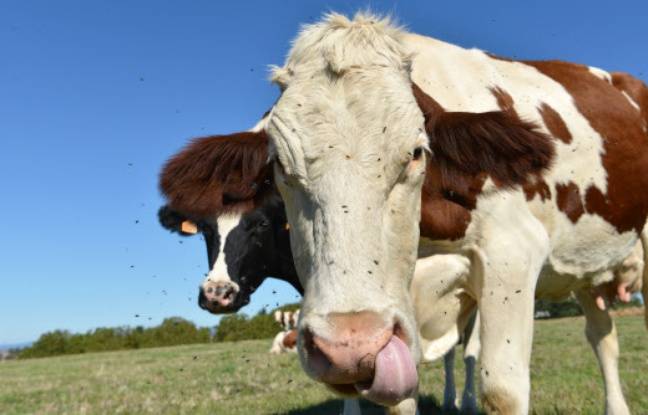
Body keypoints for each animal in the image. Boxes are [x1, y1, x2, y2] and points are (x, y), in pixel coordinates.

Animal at [159, 12, 648, 414]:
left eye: (416, 152)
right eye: (279, 162)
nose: (346, 345)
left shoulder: (511, 255)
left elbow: (502, 390)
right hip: (585, 271)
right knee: (603, 337)